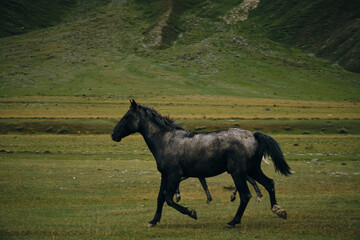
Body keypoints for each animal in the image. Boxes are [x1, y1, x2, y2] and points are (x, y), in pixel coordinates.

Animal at [111, 100, 292, 229]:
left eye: (127, 117)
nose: (113, 134)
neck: (166, 140)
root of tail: (254, 135)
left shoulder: (175, 175)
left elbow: (169, 199)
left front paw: (192, 213)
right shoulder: (165, 175)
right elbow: (160, 198)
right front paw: (153, 221)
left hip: (238, 172)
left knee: (246, 195)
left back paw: (232, 222)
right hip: (252, 170)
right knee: (269, 183)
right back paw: (279, 210)